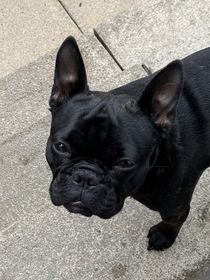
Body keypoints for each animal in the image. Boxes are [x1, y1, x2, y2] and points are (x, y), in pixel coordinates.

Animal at [46, 36, 210, 250]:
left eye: (125, 163)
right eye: (61, 147)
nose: (85, 176)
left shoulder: (175, 208)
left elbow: (174, 220)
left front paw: (164, 235)